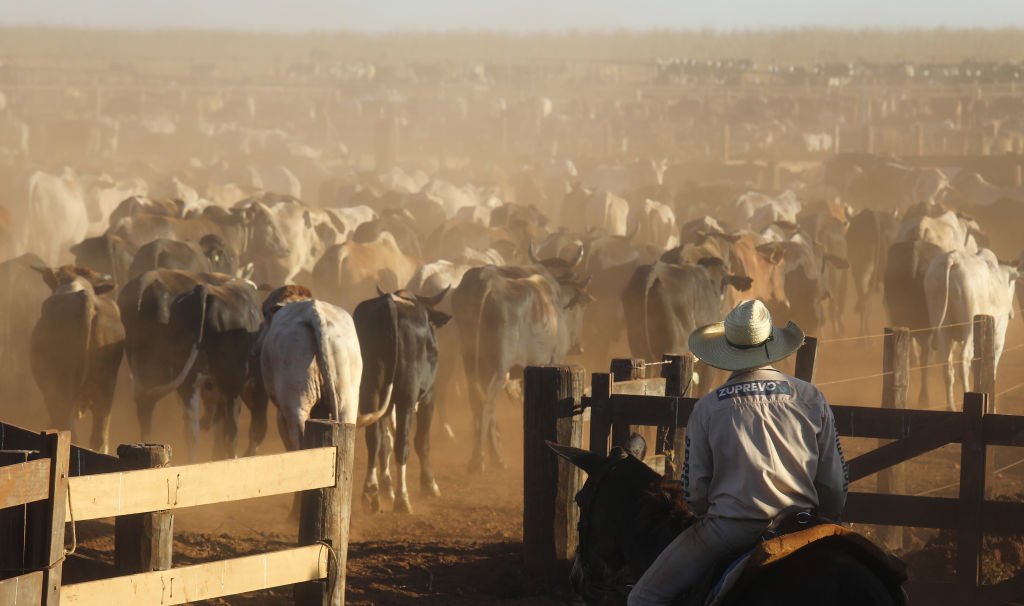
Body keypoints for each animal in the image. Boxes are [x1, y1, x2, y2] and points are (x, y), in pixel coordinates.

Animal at [352, 286, 448, 511]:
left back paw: (370, 491)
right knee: (403, 443)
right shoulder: (428, 397)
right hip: (407, 394)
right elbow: (421, 441)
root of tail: (390, 304)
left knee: (374, 439)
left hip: (370, 391)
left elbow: (384, 442)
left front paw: (386, 490)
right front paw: (429, 485)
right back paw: (403, 499)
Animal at [450, 247, 589, 472]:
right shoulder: (553, 358)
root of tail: (485, 281)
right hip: (497, 369)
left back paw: (491, 457)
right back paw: (480, 459)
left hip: (471, 363)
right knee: (487, 404)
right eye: (580, 307)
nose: (579, 346)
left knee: (478, 402)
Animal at [929, 247, 1015, 411]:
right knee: (964, 360)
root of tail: (953, 258)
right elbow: (991, 367)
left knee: (947, 367)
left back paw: (951, 407)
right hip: (970, 326)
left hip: (943, 329)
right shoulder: (999, 336)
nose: (1011, 314)